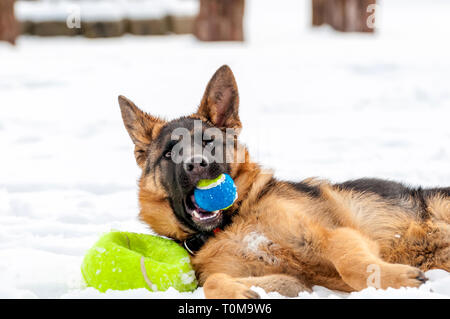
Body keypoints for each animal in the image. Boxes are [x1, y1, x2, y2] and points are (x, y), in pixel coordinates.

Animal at [118, 65, 448, 300]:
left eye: (208, 142)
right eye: (170, 152)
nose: (196, 163)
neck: (233, 223)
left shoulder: (335, 236)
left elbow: (351, 264)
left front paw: (395, 281)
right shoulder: (291, 281)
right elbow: (213, 283)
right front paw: (238, 291)